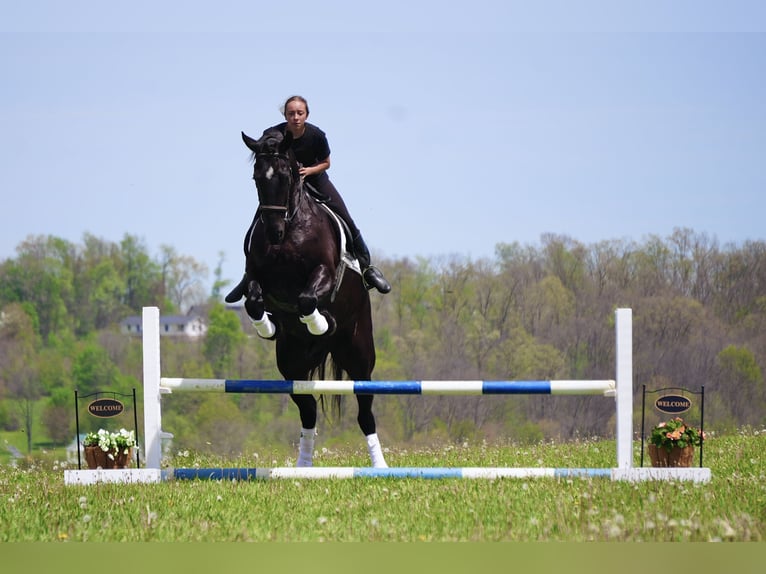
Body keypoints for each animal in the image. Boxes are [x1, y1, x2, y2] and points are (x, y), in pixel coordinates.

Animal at [239, 128, 387, 468]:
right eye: (256, 178)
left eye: (285, 176)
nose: (274, 232)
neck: (292, 227)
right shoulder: (255, 276)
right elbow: (253, 300)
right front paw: (267, 326)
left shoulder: (324, 273)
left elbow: (307, 299)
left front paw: (319, 323)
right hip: (291, 366)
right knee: (307, 410)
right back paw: (303, 465)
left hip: (359, 355)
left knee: (365, 410)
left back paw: (380, 465)